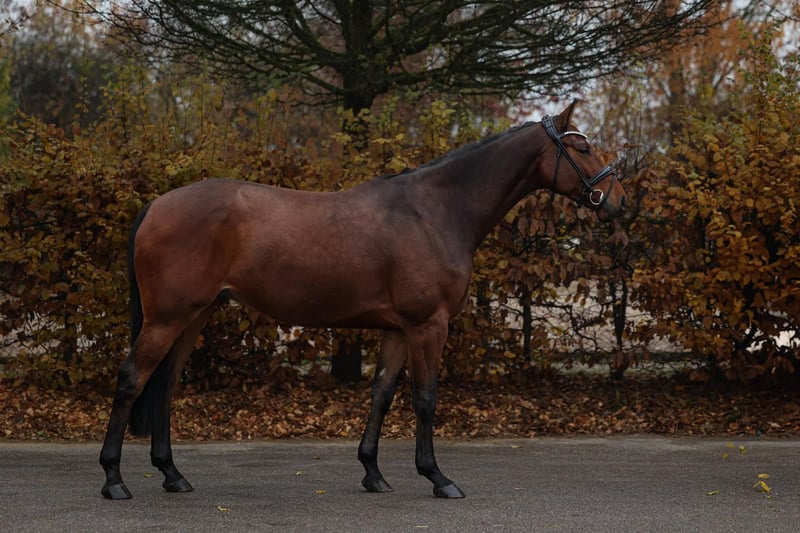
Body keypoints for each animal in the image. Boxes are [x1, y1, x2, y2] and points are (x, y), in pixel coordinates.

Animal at [99, 100, 626, 500]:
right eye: (581, 147)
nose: (618, 201)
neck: (435, 211)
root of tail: (156, 205)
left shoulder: (398, 329)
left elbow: (382, 396)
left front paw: (373, 472)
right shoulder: (428, 324)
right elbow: (425, 398)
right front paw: (438, 478)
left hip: (195, 315)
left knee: (164, 384)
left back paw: (172, 475)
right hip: (167, 317)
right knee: (132, 379)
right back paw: (114, 480)